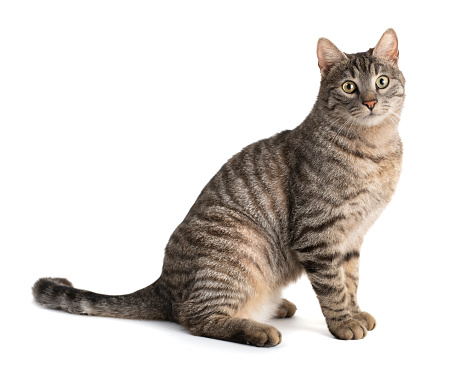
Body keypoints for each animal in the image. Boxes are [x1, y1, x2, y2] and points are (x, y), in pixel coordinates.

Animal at [32, 28, 404, 346]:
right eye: (349, 87)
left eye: (382, 82)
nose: (371, 101)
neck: (374, 148)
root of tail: (163, 284)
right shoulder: (318, 234)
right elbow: (333, 287)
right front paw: (343, 322)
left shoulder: (352, 237)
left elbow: (350, 281)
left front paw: (355, 312)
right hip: (241, 247)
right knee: (195, 318)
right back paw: (257, 329)